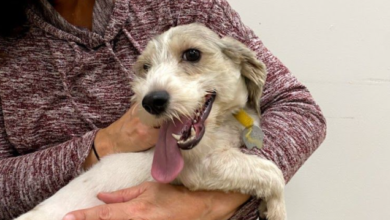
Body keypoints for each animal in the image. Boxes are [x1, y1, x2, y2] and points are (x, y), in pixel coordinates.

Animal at [14, 23, 286, 220]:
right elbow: (272, 172)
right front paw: (276, 210)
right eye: (146, 67)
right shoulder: (198, 168)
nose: (152, 101)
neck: (222, 125)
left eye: (192, 54)